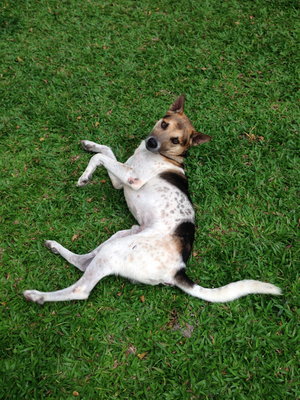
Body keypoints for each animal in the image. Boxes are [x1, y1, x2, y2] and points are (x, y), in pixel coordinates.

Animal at [23, 95, 282, 304]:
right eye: (164, 123)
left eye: (176, 140)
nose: (151, 142)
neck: (162, 155)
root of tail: (177, 271)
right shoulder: (121, 180)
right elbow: (106, 151)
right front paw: (90, 145)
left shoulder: (133, 178)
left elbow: (100, 158)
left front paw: (85, 176)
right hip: (125, 233)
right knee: (83, 262)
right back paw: (55, 248)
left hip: (116, 250)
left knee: (81, 290)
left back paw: (37, 296)